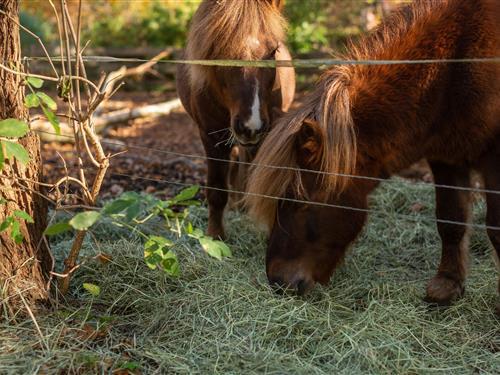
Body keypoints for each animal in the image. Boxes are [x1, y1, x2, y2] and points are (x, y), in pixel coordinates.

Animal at [176, 0, 294, 239]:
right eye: (221, 52)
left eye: (272, 51)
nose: (252, 125)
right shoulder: (211, 136)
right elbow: (217, 189)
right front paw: (215, 236)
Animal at [244, 0, 498, 308]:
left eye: (299, 201)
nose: (278, 281)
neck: (453, 68)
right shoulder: (447, 158)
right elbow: (450, 219)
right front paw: (447, 286)